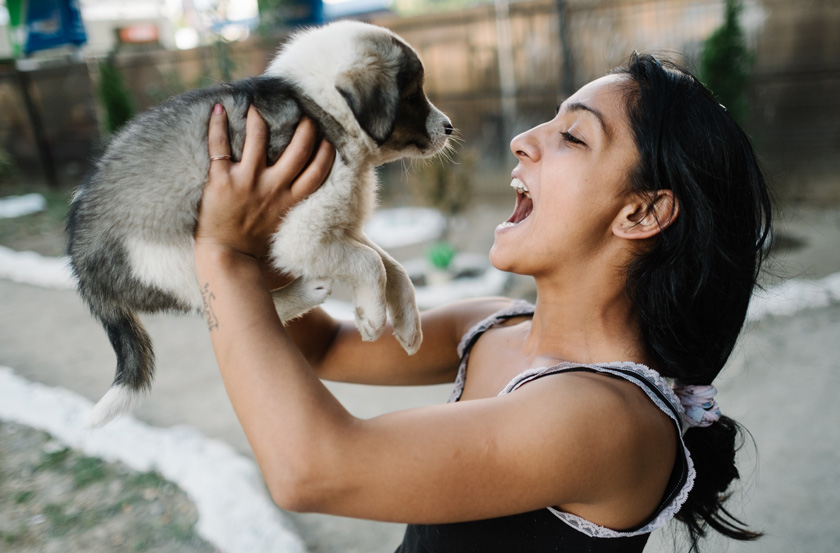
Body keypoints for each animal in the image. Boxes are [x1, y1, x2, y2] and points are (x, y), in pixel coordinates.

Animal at [67, 19, 452, 424]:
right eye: (413, 95)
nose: (450, 128)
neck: (320, 107)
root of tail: (81, 265)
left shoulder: (342, 226)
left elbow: (393, 267)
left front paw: (407, 325)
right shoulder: (303, 235)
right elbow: (371, 263)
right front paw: (373, 318)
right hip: (167, 257)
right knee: (212, 304)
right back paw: (304, 293)